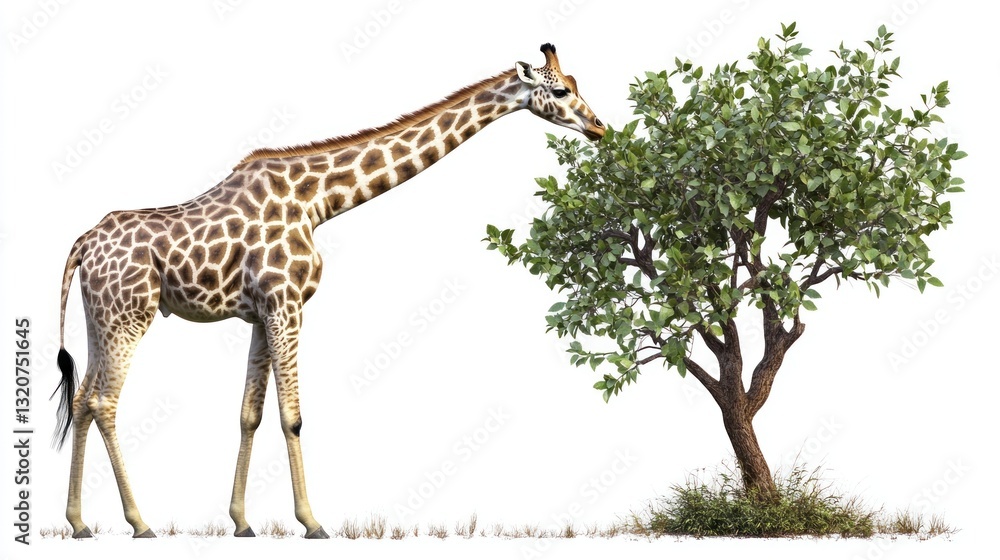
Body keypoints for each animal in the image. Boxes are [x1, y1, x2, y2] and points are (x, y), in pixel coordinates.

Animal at [52, 43, 604, 539]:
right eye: (559, 90)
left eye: (577, 83)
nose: (600, 127)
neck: (318, 202)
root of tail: (83, 243)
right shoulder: (286, 303)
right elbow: (292, 417)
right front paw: (312, 522)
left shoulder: (261, 314)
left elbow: (249, 415)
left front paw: (242, 522)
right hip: (129, 315)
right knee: (106, 402)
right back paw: (139, 523)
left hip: (100, 317)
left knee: (82, 399)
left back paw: (79, 523)